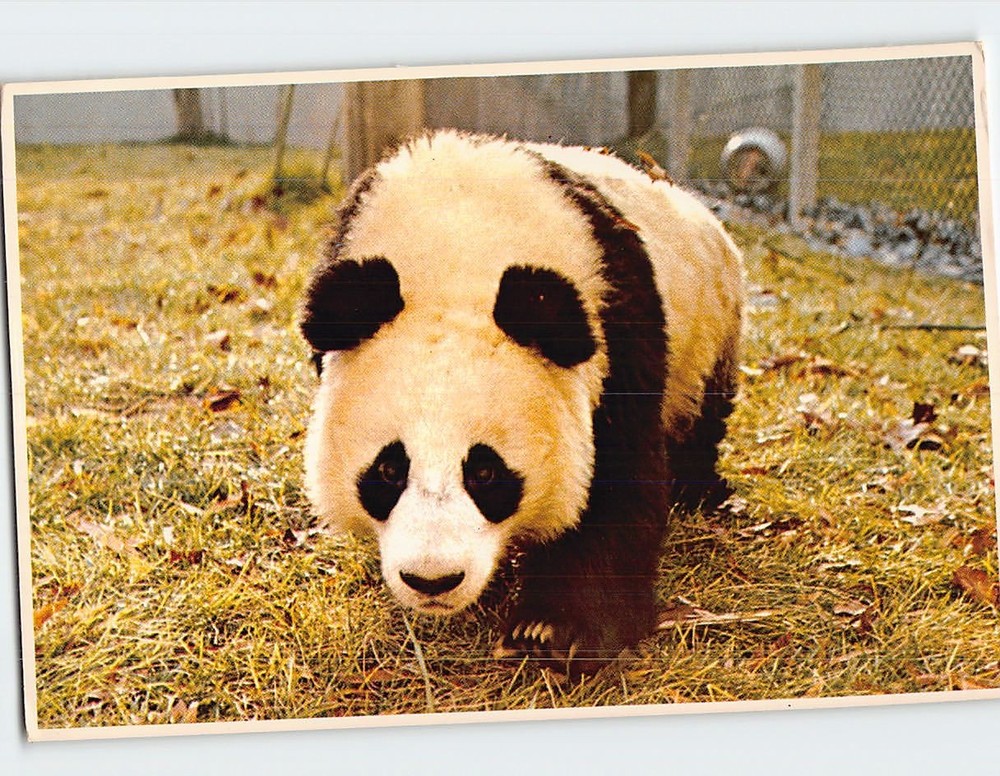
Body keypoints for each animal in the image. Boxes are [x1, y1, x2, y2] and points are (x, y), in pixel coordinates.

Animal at [300, 130, 744, 675]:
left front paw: (554, 632)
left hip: (708, 330)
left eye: (485, 472)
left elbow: (616, 477)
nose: (432, 580)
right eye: (388, 469)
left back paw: (699, 488)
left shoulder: (615, 319)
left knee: (699, 417)